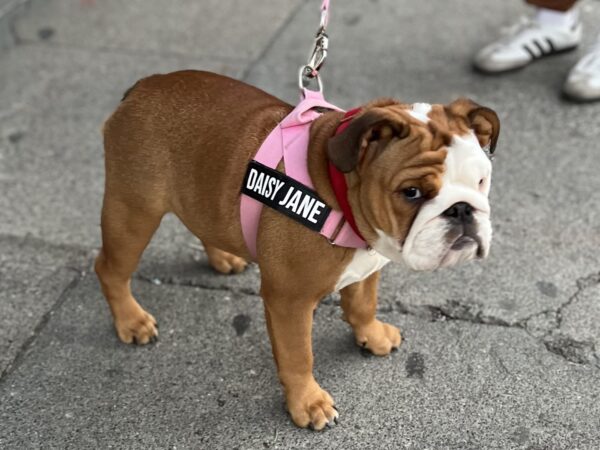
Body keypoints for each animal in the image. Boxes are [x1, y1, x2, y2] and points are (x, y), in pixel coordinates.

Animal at [96, 69, 500, 428]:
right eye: (411, 192)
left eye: (481, 180)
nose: (462, 209)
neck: (340, 194)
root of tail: (143, 87)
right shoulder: (289, 301)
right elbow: (297, 355)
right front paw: (308, 404)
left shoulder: (367, 267)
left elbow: (362, 304)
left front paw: (372, 336)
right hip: (133, 212)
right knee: (110, 269)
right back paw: (131, 320)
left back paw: (224, 256)